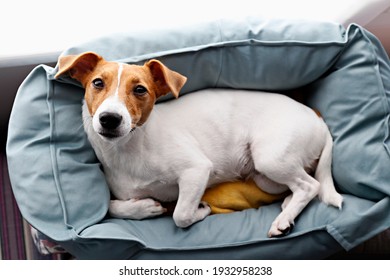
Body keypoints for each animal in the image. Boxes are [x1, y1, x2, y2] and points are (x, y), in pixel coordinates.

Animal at [56, 50, 342, 236]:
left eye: (140, 90)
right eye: (97, 83)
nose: (110, 119)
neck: (130, 148)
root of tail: (316, 117)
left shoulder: (196, 170)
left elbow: (180, 214)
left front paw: (200, 210)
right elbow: (111, 206)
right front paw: (144, 207)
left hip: (270, 158)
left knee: (311, 185)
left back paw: (283, 219)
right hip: (265, 177)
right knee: (300, 187)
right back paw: (287, 209)